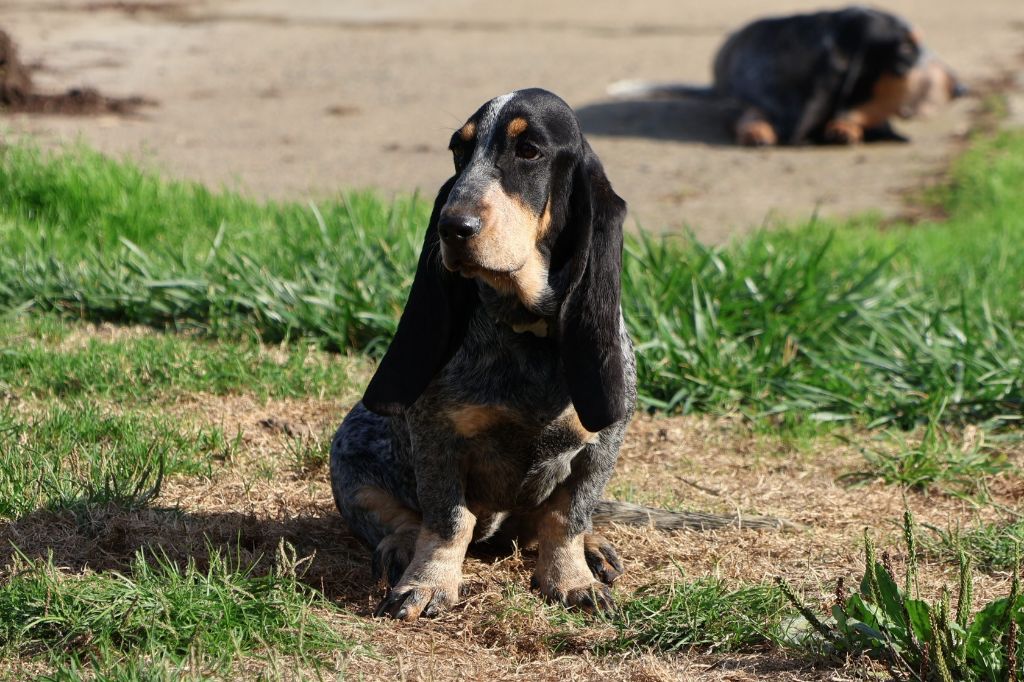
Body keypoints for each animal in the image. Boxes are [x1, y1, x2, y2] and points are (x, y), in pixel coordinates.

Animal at [606, 6, 966, 144]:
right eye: (906, 50)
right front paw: (757, 130)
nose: (961, 87)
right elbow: (751, 115)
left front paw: (845, 127)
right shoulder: (744, 102)